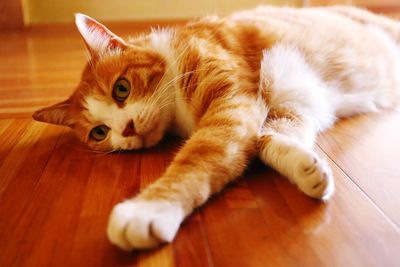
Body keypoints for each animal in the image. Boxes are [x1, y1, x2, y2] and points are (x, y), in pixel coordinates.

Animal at [32, 5, 400, 251]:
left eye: (121, 89)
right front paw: (307, 168)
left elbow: (196, 160)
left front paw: (148, 209)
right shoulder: (289, 105)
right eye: (99, 132)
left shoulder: (232, 105)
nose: (128, 127)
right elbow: (269, 138)